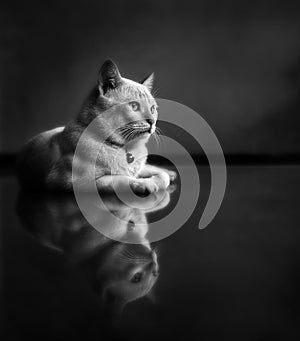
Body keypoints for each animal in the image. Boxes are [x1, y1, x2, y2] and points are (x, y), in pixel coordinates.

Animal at [17, 59, 176, 194]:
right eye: (134, 106)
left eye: (153, 109)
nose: (152, 121)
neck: (126, 149)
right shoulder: (75, 183)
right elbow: (120, 179)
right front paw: (145, 184)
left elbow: (161, 177)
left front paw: (160, 178)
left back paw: (171, 173)